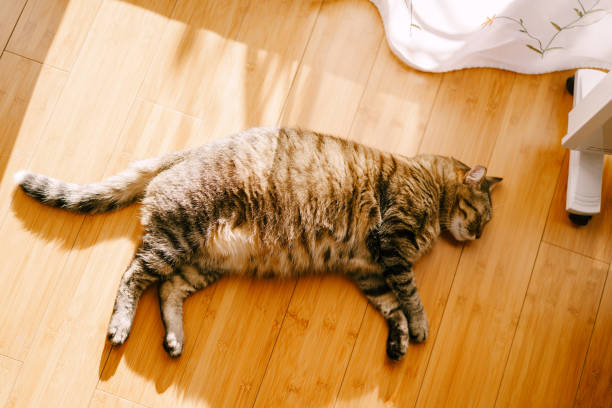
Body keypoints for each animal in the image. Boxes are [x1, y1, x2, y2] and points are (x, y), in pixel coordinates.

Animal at [15, 126, 502, 360]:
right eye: (482, 216)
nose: (480, 236)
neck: (429, 183)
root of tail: (190, 151)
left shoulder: (368, 270)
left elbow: (392, 307)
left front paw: (399, 341)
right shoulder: (393, 244)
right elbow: (411, 298)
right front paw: (419, 328)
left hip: (204, 261)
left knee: (169, 289)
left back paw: (174, 338)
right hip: (176, 237)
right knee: (133, 277)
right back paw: (120, 326)